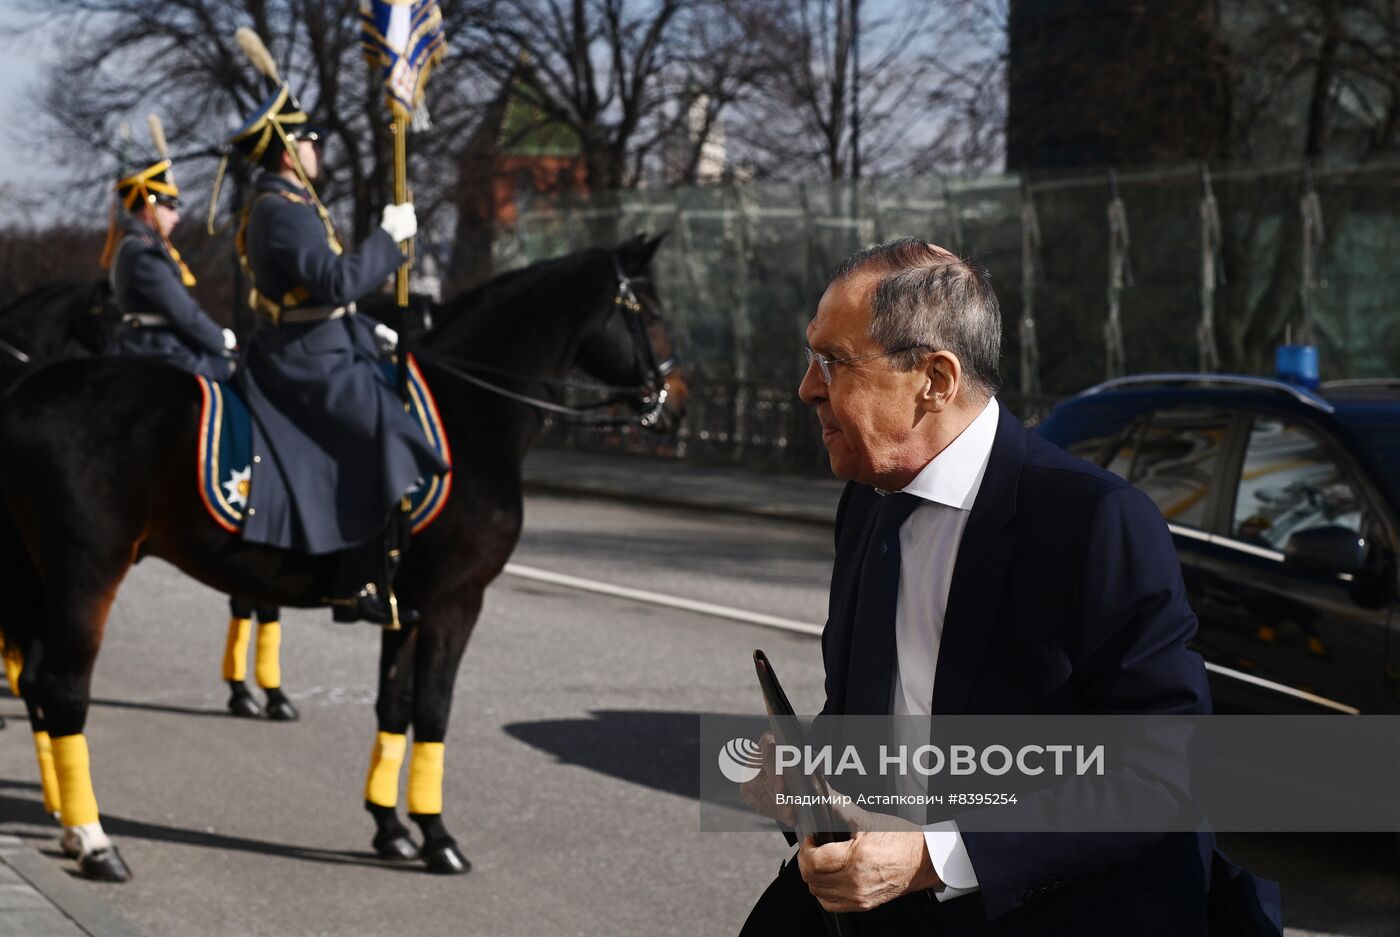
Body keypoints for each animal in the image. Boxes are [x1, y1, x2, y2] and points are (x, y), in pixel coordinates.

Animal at [0, 233, 683, 879]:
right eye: (649, 311)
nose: (673, 405)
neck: (472, 413)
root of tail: (25, 395)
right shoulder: (455, 600)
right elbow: (434, 709)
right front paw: (438, 838)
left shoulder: (405, 605)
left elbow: (394, 705)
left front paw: (390, 827)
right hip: (86, 573)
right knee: (63, 689)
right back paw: (94, 841)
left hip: (39, 575)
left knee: (34, 682)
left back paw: (69, 818)